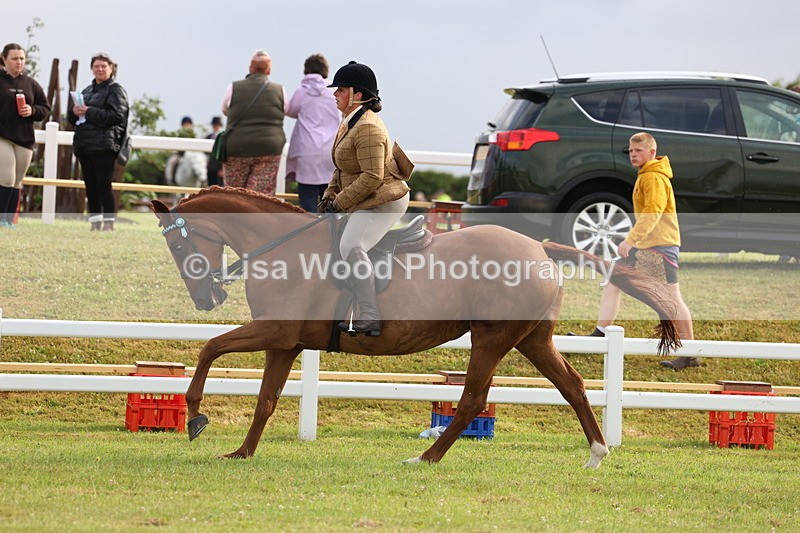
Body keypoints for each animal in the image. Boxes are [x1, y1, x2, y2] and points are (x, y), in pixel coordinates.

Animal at [151, 186, 680, 469]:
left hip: (492, 338)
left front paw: (195, 417)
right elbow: (265, 400)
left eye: (177, 246)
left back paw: (425, 459)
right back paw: (596, 453)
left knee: (472, 400)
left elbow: (209, 349)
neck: (280, 248)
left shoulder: (273, 333)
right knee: (571, 385)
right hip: (532, 339)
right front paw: (241, 453)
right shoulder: (284, 343)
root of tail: (538, 247)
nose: (207, 299)